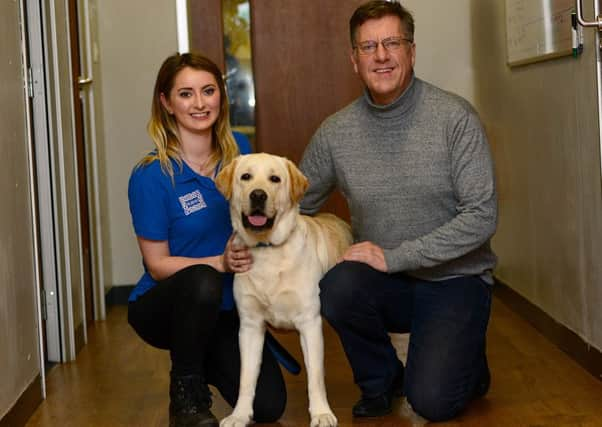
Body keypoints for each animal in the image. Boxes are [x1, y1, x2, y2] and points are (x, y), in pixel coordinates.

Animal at [214, 154, 350, 427]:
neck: (267, 249)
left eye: (274, 179)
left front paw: (321, 413)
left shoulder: (309, 324)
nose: (258, 195)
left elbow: (315, 376)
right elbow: (246, 379)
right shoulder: (250, 327)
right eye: (246, 176)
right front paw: (239, 414)